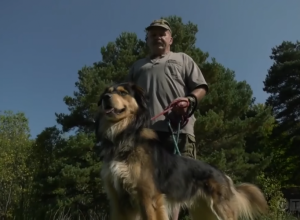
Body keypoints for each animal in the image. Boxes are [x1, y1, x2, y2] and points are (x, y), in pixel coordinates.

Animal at [95, 81, 268, 219]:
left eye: (123, 92)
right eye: (107, 92)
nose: (105, 98)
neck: (123, 136)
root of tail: (224, 175)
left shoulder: (148, 196)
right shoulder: (119, 201)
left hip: (221, 210)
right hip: (204, 212)